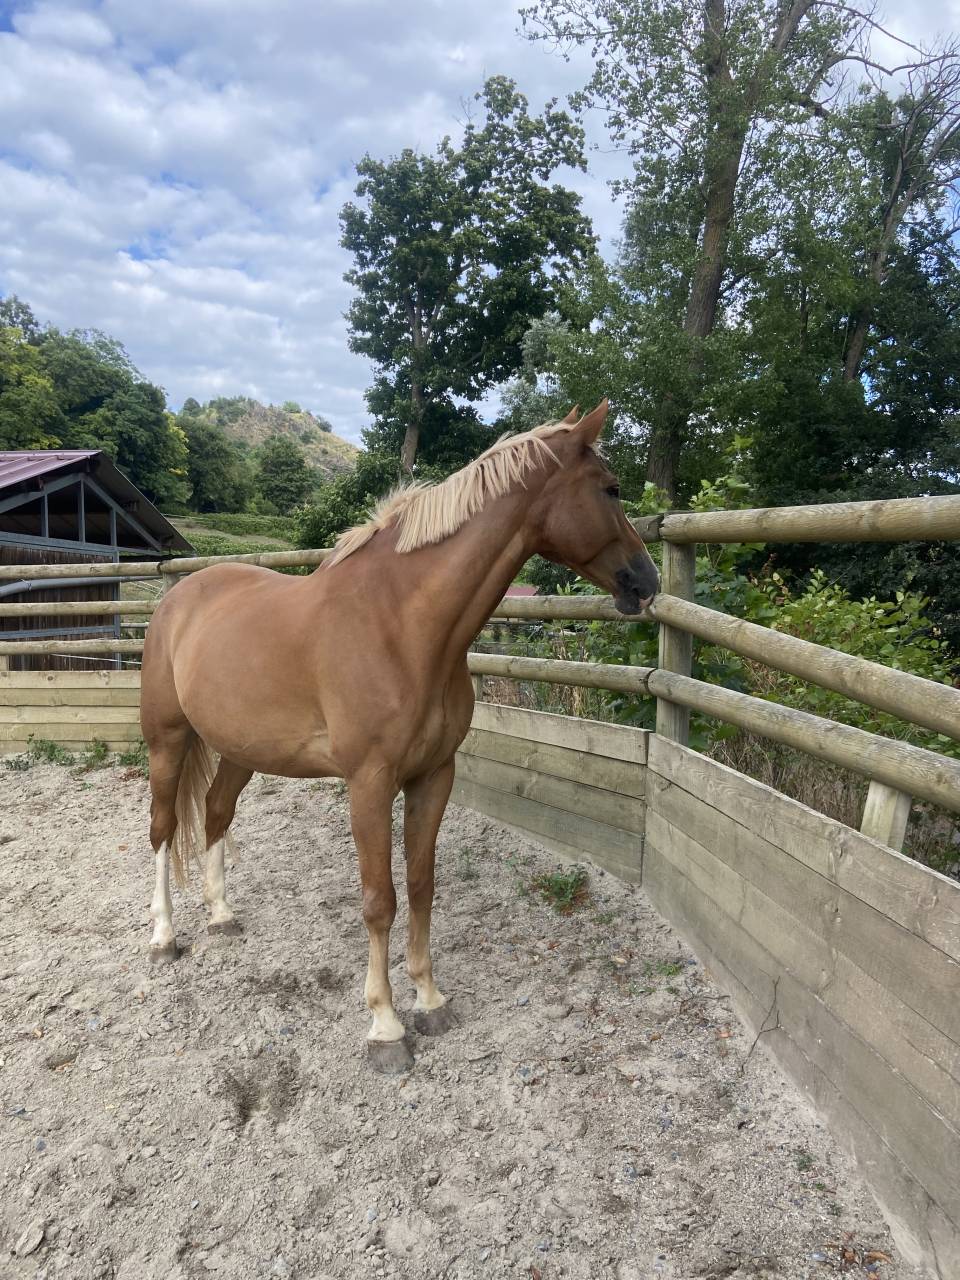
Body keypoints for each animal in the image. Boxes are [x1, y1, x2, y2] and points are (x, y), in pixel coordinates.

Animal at [140, 401, 659, 1073]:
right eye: (610, 488)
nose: (645, 582)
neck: (403, 625)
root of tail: (178, 597)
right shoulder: (370, 783)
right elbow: (378, 898)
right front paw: (385, 1025)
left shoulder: (433, 775)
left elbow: (419, 884)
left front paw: (430, 999)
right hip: (168, 740)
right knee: (162, 827)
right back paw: (163, 936)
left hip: (239, 749)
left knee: (214, 812)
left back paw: (222, 915)